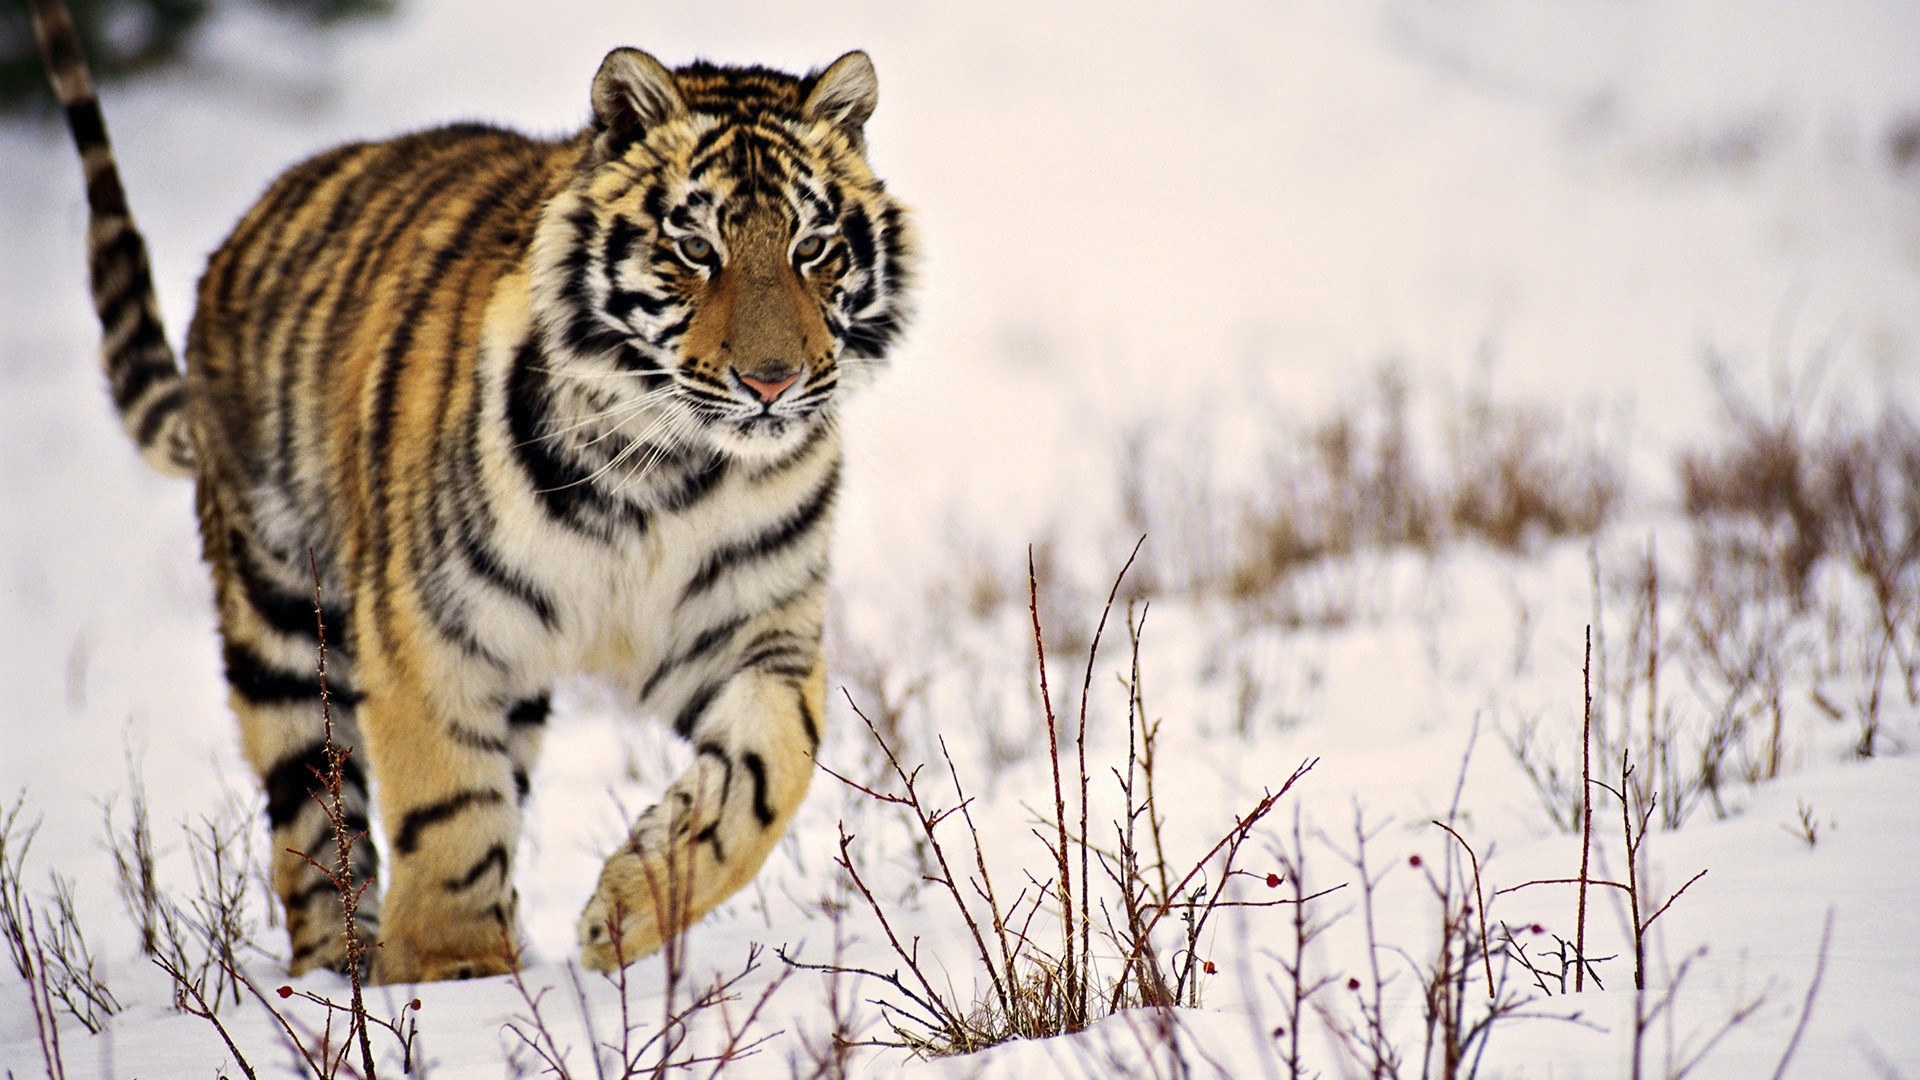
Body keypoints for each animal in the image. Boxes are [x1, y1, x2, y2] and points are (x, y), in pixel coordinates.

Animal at [28, 0, 914, 983]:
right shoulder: (431, 628)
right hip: (283, 623)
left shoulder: (753, 629)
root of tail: (245, 229)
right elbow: (448, 806)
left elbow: (769, 771)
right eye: (695, 249)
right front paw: (459, 976)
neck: (665, 470)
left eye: (812, 248)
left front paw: (627, 910)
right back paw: (339, 975)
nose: (771, 381)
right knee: (312, 822)